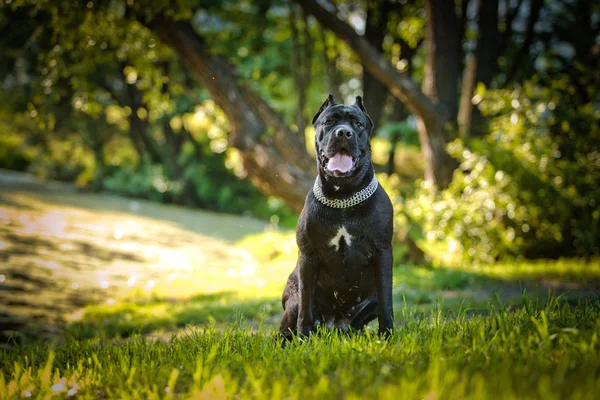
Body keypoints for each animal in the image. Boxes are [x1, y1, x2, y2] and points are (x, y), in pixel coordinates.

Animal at [280, 94, 396, 340]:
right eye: (329, 122)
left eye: (358, 124)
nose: (343, 132)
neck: (344, 197)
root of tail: (336, 327)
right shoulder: (308, 256)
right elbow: (306, 307)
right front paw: (304, 338)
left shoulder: (383, 252)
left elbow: (386, 301)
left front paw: (387, 335)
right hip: (292, 301)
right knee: (287, 325)